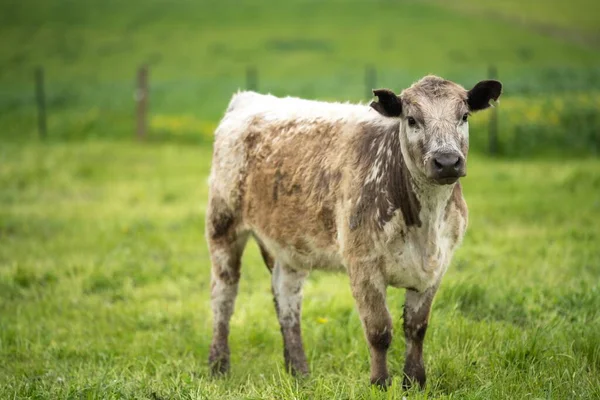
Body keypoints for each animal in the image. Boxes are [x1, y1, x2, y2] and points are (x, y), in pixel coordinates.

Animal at [206, 74, 502, 388]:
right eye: (411, 119)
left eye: (464, 116)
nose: (446, 161)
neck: (425, 230)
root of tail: (250, 98)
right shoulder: (362, 264)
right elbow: (379, 330)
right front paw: (380, 383)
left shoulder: (437, 266)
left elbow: (417, 327)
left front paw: (414, 382)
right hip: (223, 223)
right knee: (223, 295)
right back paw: (218, 366)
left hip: (290, 246)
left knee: (287, 298)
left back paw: (299, 372)